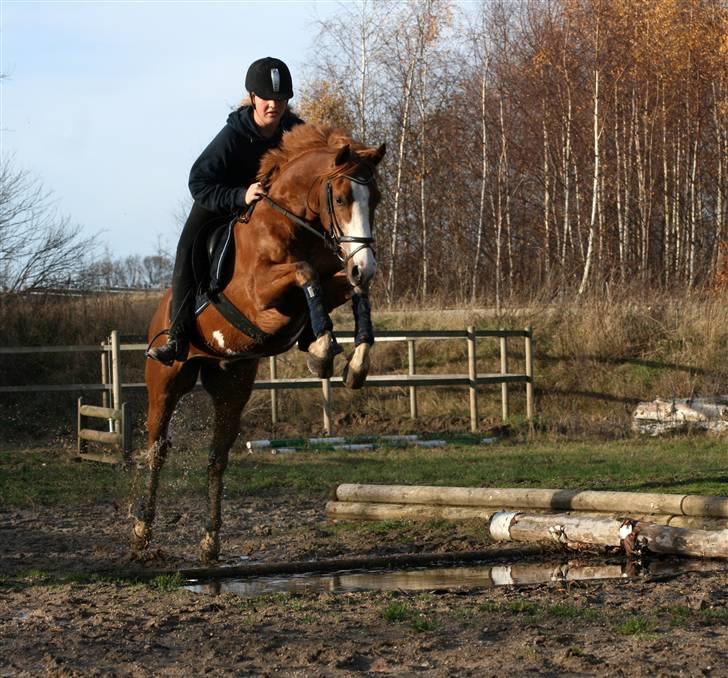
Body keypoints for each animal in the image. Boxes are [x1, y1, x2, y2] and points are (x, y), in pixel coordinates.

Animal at [134, 126, 390, 564]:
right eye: (340, 198)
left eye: (374, 199)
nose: (366, 265)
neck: (289, 223)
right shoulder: (259, 298)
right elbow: (306, 274)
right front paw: (323, 350)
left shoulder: (334, 278)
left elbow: (352, 291)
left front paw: (352, 362)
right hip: (165, 384)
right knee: (157, 450)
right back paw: (142, 533)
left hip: (232, 387)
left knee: (217, 458)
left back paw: (210, 541)